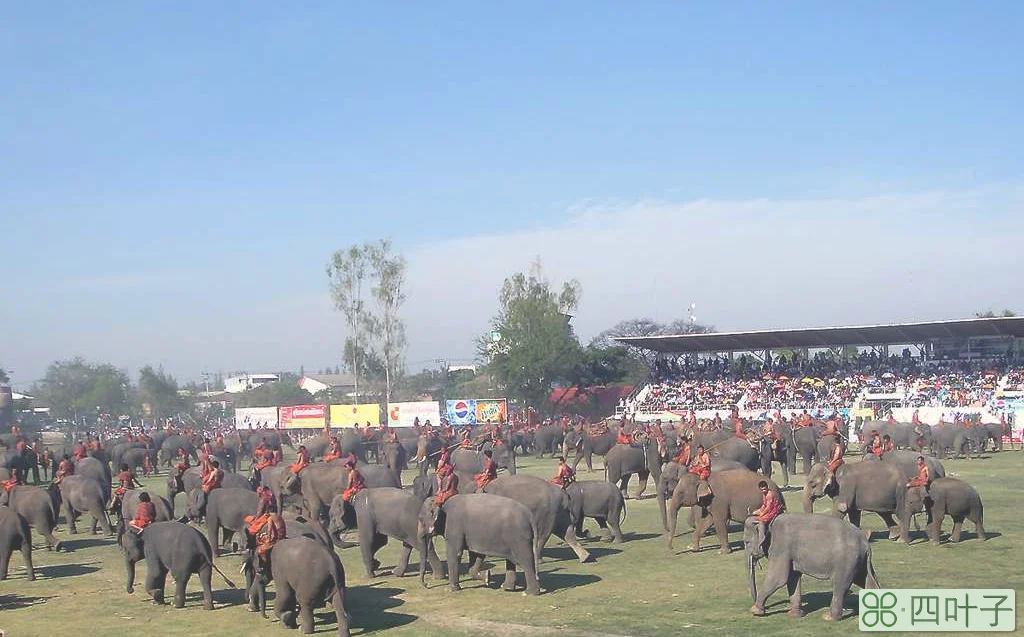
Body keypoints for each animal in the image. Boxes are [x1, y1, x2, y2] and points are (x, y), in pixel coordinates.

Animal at [745, 516, 880, 622]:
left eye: (746, 542)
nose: (754, 601)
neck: (768, 522)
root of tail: (865, 542)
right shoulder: (791, 554)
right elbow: (792, 578)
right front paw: (795, 615)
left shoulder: (781, 547)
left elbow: (778, 578)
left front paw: (755, 611)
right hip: (860, 562)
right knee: (868, 581)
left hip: (846, 561)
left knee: (840, 586)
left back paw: (829, 617)